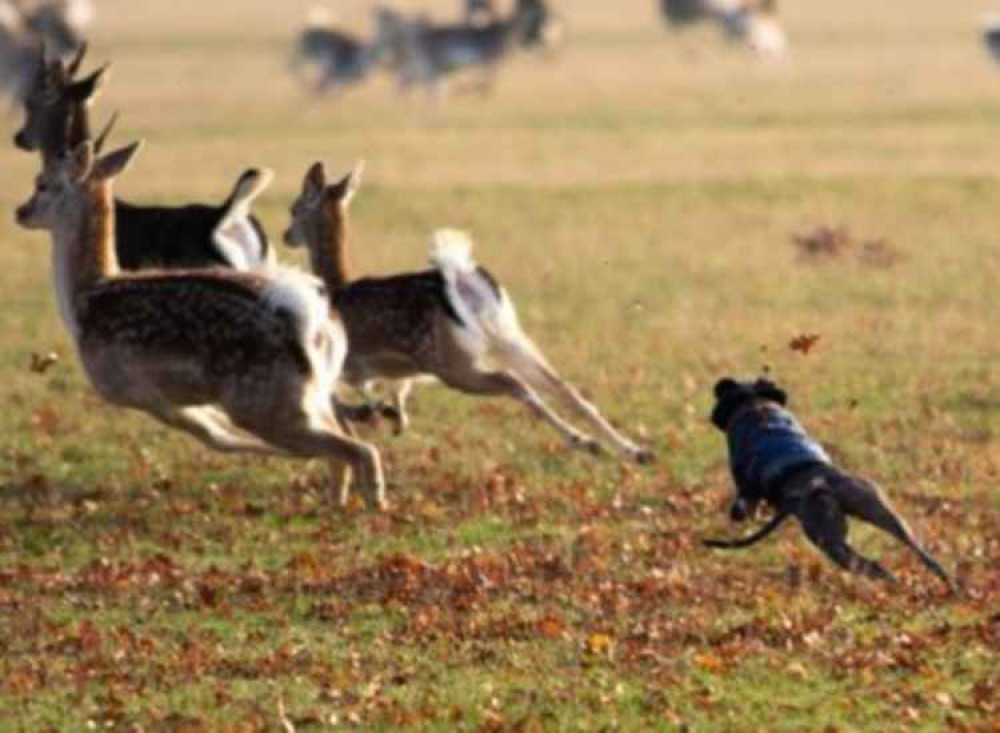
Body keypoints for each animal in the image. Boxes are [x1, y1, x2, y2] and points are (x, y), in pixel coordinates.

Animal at [284, 159, 656, 464]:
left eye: (294, 208)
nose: (286, 235)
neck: (336, 283)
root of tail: (462, 279)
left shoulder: (347, 365)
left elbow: (339, 402)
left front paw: (375, 417)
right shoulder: (386, 373)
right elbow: (390, 396)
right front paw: (392, 417)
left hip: (450, 361)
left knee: (514, 382)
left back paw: (586, 442)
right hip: (511, 337)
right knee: (565, 388)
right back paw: (634, 451)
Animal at [704, 380, 952, 588]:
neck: (756, 406)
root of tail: (820, 482)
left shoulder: (745, 487)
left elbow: (747, 502)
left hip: (827, 539)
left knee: (870, 566)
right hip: (879, 510)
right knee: (916, 549)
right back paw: (946, 581)